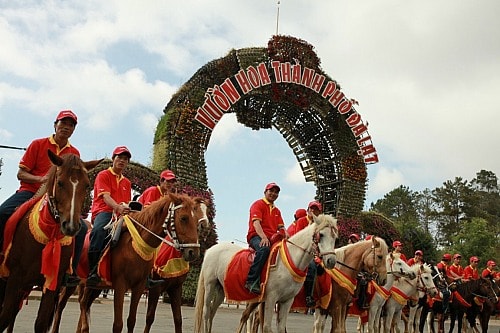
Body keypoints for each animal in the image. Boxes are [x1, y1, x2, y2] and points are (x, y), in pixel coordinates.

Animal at [0, 150, 102, 332]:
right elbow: (4, 317)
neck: (49, 235)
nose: (70, 226)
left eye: (86, 185)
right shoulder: (14, 278)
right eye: (60, 183)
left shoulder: (52, 283)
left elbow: (40, 323)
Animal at [143, 197, 209, 332]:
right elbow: (150, 317)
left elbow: (178, 319)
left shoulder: (176, 288)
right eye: (196, 208)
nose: (205, 225)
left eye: (207, 210)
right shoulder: (155, 288)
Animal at [193, 213, 338, 332]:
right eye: (321, 235)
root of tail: (211, 249)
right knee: (206, 312)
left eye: (335, 237)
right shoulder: (270, 298)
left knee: (212, 312)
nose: (331, 261)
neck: (290, 260)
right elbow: (267, 327)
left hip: (221, 289)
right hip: (210, 285)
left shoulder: (287, 301)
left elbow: (280, 328)